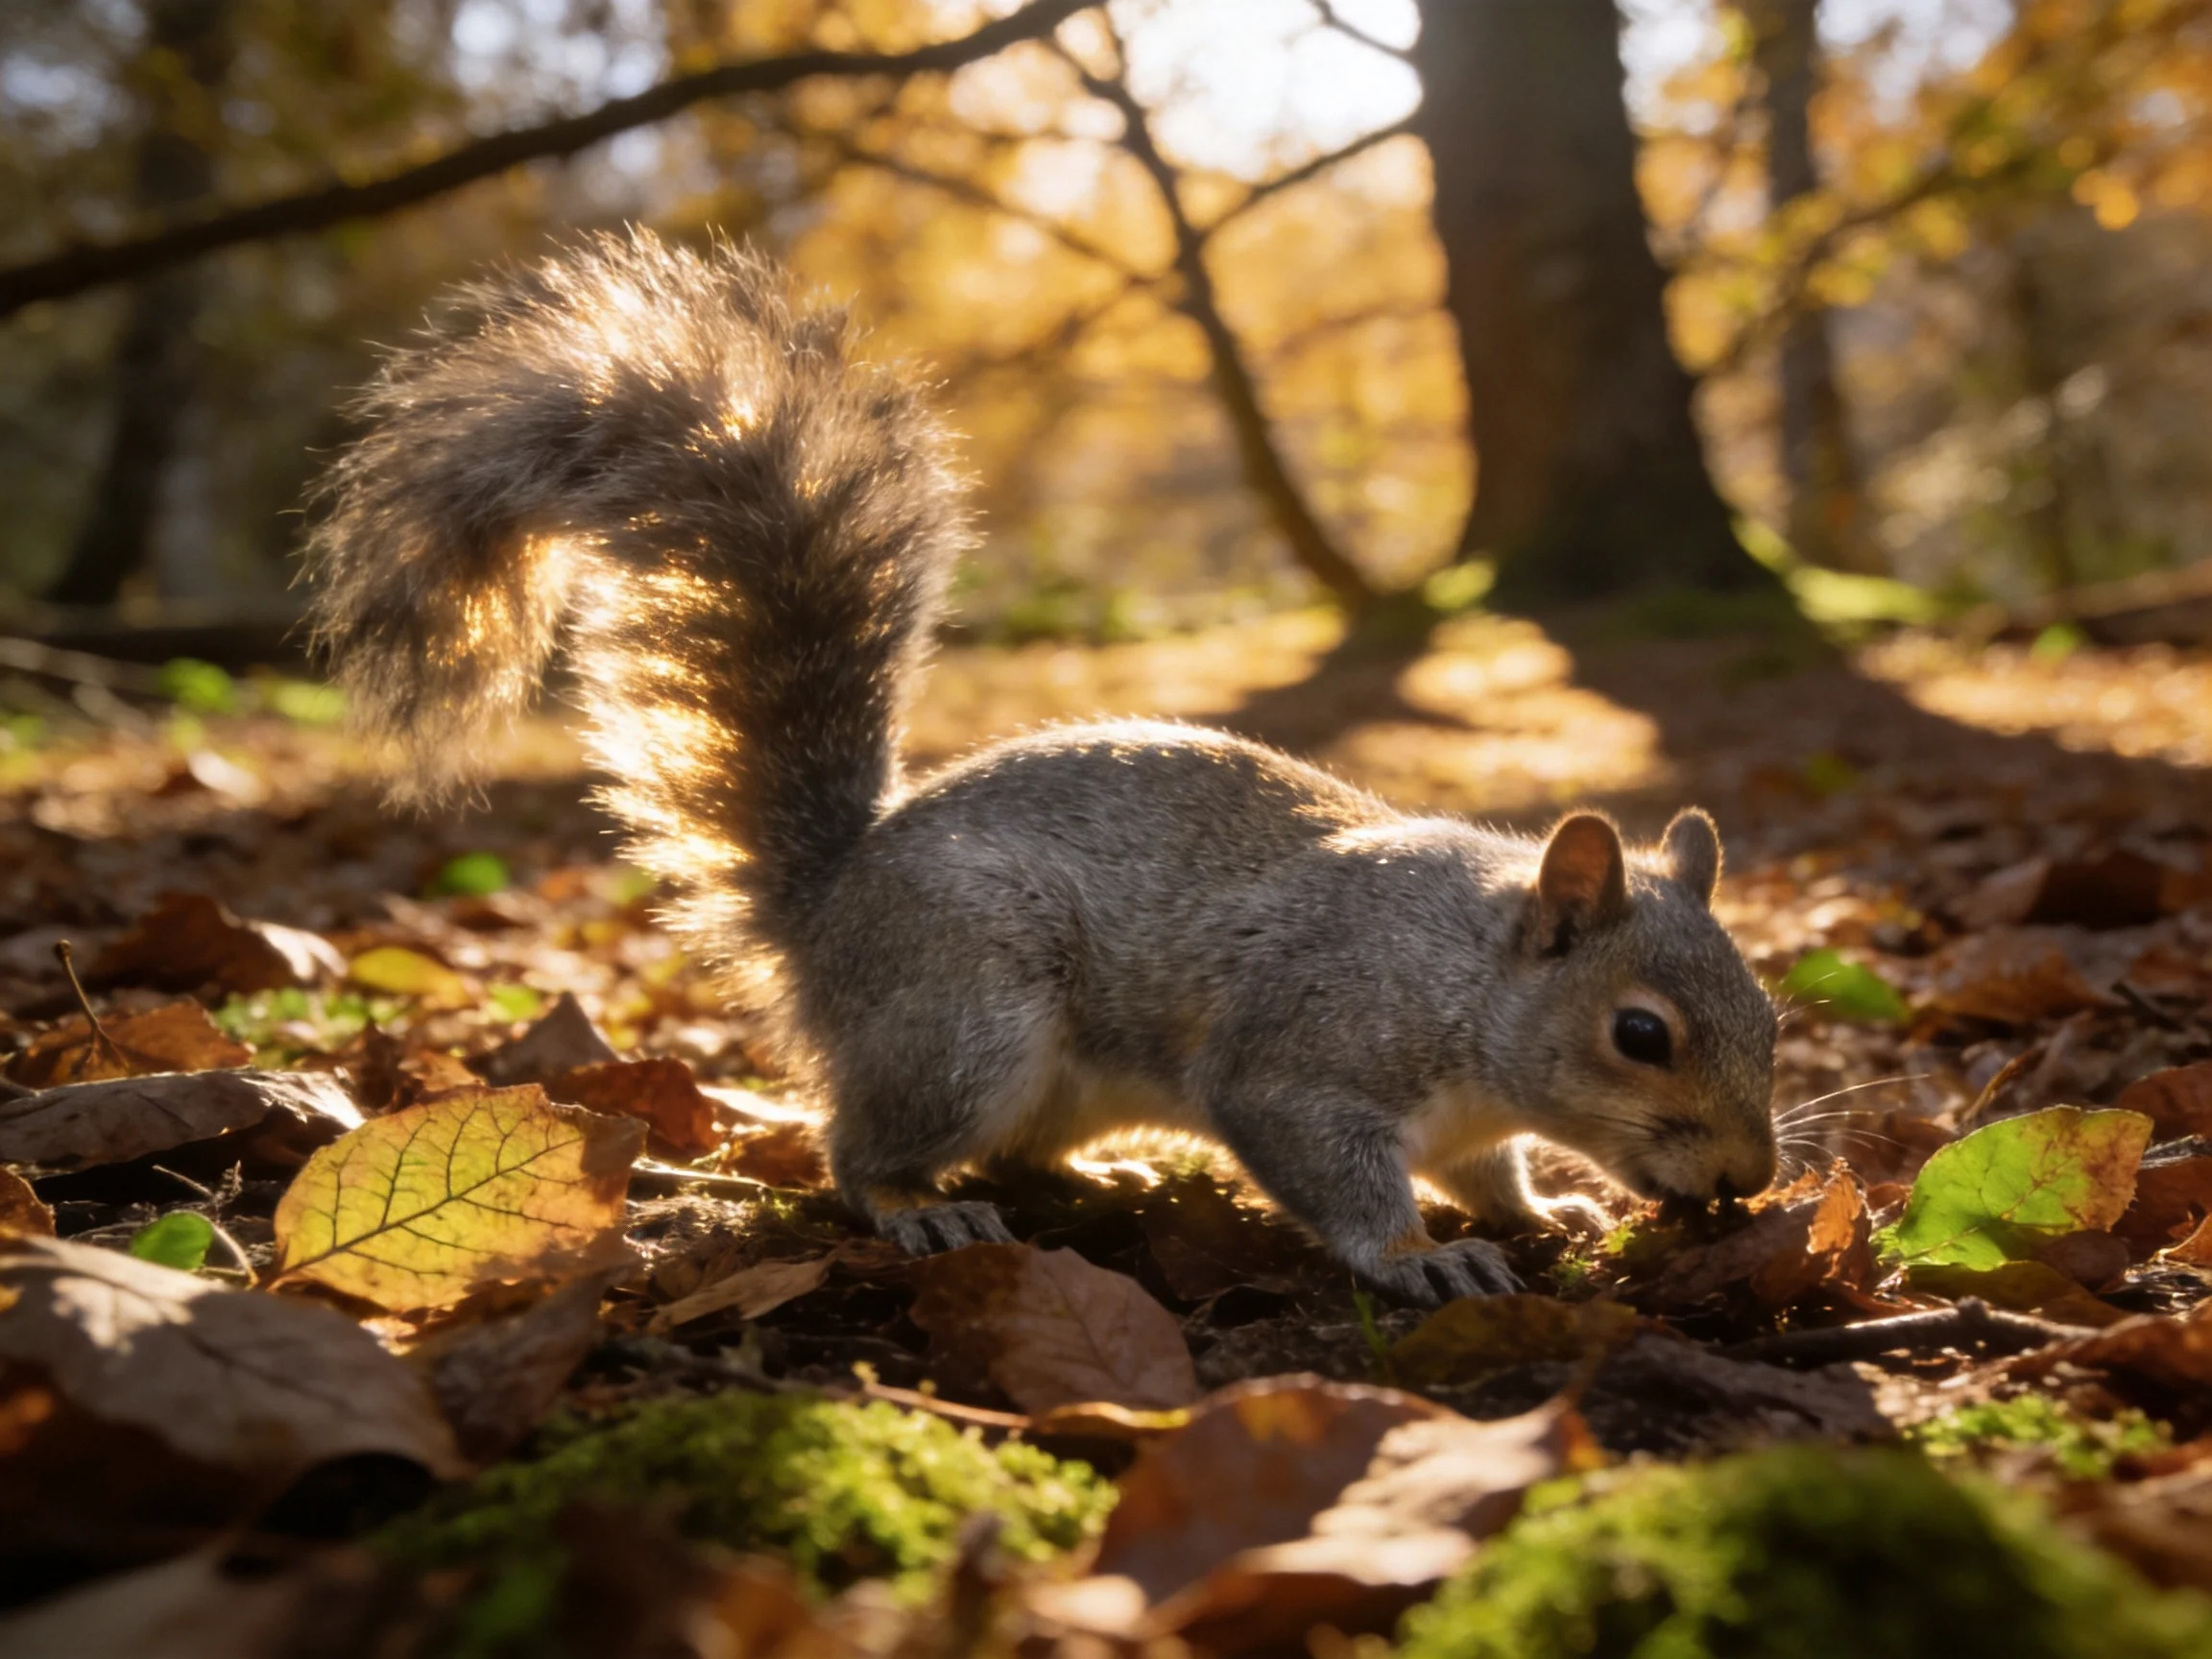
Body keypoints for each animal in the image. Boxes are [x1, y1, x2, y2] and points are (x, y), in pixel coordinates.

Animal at [305, 231, 1779, 1306]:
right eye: (1641, 1035)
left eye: (1769, 1020)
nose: (1751, 1182)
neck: (1472, 983)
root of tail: (826, 910)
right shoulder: (1307, 1054)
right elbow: (1329, 1165)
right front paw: (1423, 1255)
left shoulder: (1471, 1122)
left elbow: (1499, 1175)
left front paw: (1549, 1204)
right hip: (965, 1015)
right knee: (858, 1147)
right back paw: (918, 1211)